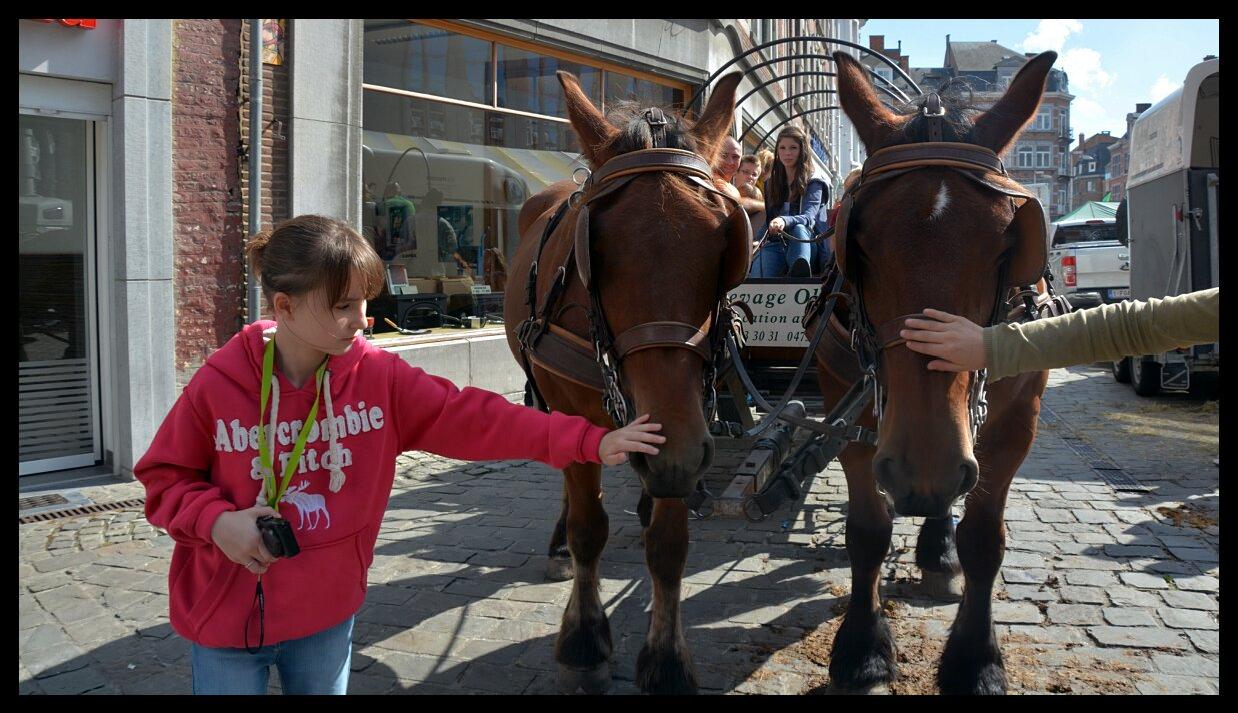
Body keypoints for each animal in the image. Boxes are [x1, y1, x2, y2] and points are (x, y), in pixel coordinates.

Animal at [500, 69, 747, 693]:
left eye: (724, 242)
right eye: (598, 248)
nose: (671, 458)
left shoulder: (685, 424)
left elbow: (669, 544)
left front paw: (666, 659)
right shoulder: (578, 411)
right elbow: (589, 526)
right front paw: (585, 640)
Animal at [817, 51, 1059, 698]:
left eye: (1006, 246)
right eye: (859, 246)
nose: (922, 468)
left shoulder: (1016, 421)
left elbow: (984, 540)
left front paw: (976, 659)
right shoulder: (849, 415)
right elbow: (867, 531)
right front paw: (863, 645)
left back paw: (938, 545)